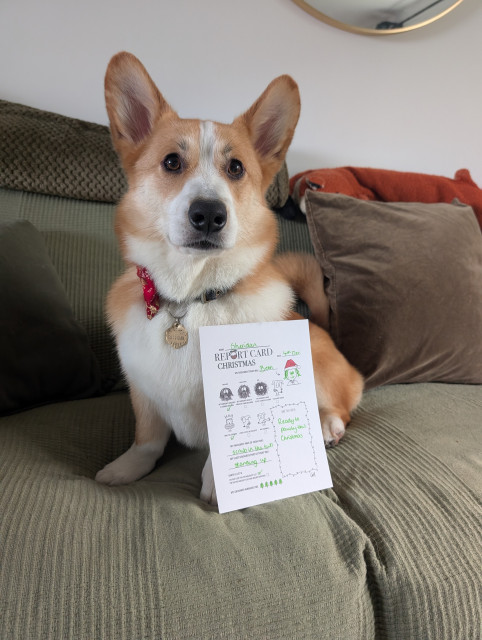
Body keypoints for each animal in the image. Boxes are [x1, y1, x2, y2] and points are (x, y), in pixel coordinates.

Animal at [96, 52, 364, 502]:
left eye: (236, 167)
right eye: (171, 162)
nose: (209, 214)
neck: (190, 297)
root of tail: (322, 328)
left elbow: (216, 452)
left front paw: (215, 487)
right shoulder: (143, 394)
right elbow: (148, 440)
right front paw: (125, 468)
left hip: (318, 364)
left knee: (343, 404)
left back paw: (328, 425)